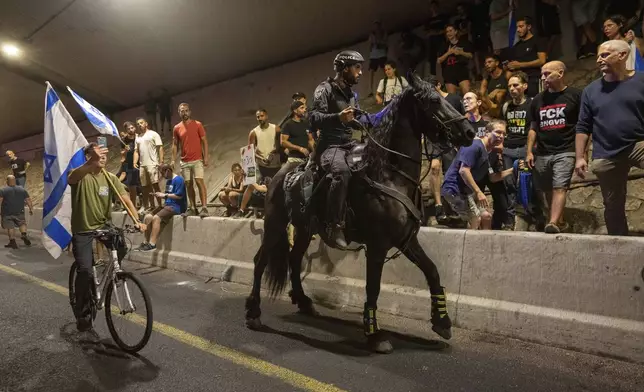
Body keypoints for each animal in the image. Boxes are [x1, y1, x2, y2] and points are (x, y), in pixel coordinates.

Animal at [244, 73, 476, 352]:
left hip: (304, 229)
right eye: (433, 101)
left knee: (294, 258)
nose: (469, 131)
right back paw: (253, 312)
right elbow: (372, 287)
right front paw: (375, 335)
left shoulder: (406, 240)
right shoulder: (377, 246)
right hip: (275, 224)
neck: (388, 175)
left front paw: (442, 321)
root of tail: (279, 174)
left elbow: (432, 271)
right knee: (260, 261)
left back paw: (304, 302)